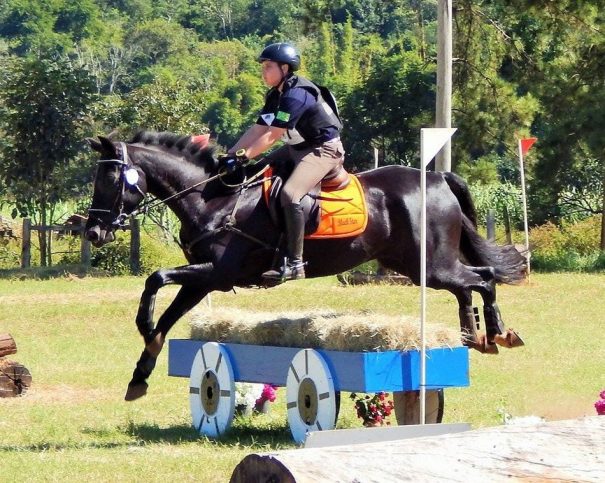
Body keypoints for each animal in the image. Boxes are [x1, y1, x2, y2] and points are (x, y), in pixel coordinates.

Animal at [84, 131, 524, 400]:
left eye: (111, 180)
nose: (92, 232)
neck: (214, 199)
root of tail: (438, 178)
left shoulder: (219, 274)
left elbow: (155, 278)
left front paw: (142, 327)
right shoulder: (204, 280)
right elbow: (166, 315)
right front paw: (140, 373)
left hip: (429, 265)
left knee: (483, 279)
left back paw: (499, 333)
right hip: (417, 264)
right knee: (466, 285)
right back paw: (473, 337)